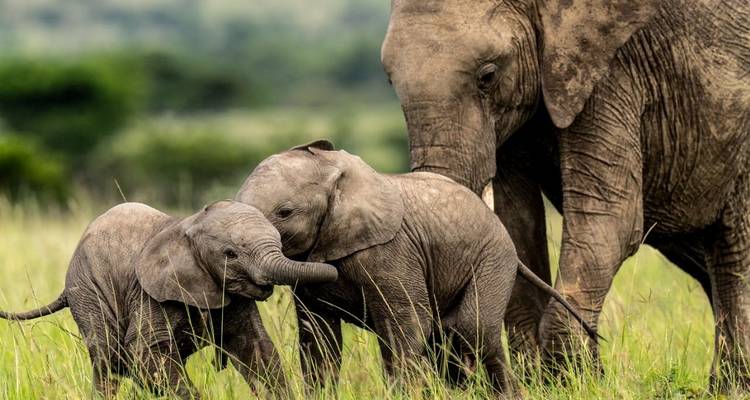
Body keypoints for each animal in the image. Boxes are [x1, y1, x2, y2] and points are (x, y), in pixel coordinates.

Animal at [0, 200, 337, 398]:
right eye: (230, 254)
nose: (333, 268)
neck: (187, 226)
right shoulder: (149, 291)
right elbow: (144, 349)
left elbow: (255, 347)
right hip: (87, 291)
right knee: (108, 356)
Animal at [235, 140, 596, 394]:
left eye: (284, 212)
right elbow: (318, 337)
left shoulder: (392, 252)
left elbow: (404, 325)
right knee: (446, 336)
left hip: (493, 260)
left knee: (473, 330)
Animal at [381, 0, 750, 389]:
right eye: (390, 81)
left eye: (488, 76)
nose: (452, 372)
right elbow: (516, 224)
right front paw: (539, 382)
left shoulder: (613, 69)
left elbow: (610, 220)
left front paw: (575, 380)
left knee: (732, 254)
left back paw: (731, 387)